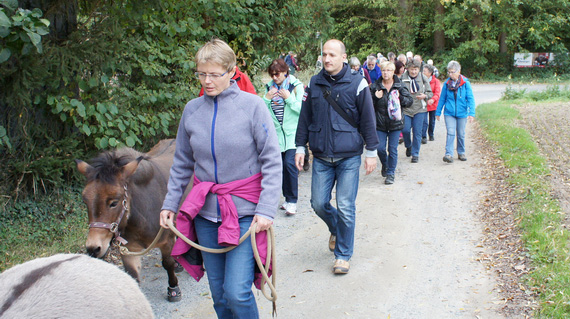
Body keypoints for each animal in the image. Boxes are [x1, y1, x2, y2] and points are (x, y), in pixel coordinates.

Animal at [75, 140, 184, 302]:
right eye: (85, 201)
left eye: (114, 202)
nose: (93, 248)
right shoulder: (128, 249)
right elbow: (132, 275)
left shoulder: (166, 241)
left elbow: (167, 263)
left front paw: (173, 289)